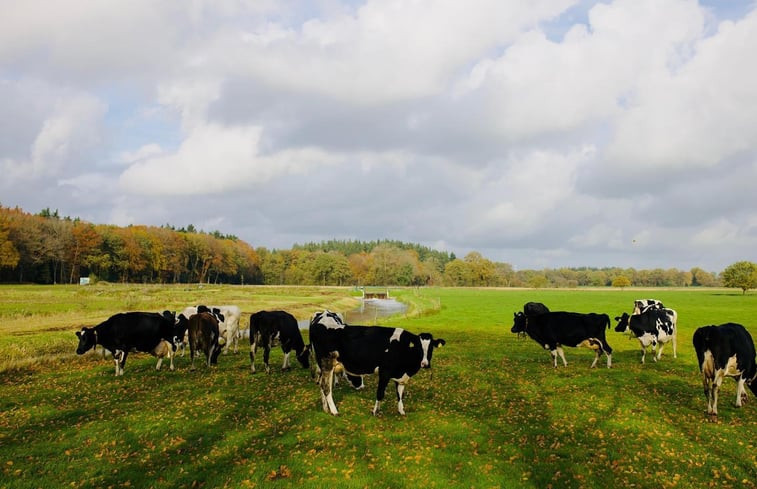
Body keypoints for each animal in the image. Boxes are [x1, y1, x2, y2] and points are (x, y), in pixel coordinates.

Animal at [310, 310, 446, 414]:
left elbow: (400, 394)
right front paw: (375, 412)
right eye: (418, 347)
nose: (425, 364)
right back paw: (334, 411)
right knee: (326, 387)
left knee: (321, 385)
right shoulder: (384, 372)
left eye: (431, 348)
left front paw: (401, 411)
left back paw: (325, 408)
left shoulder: (400, 375)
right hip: (327, 363)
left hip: (322, 366)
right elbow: (380, 393)